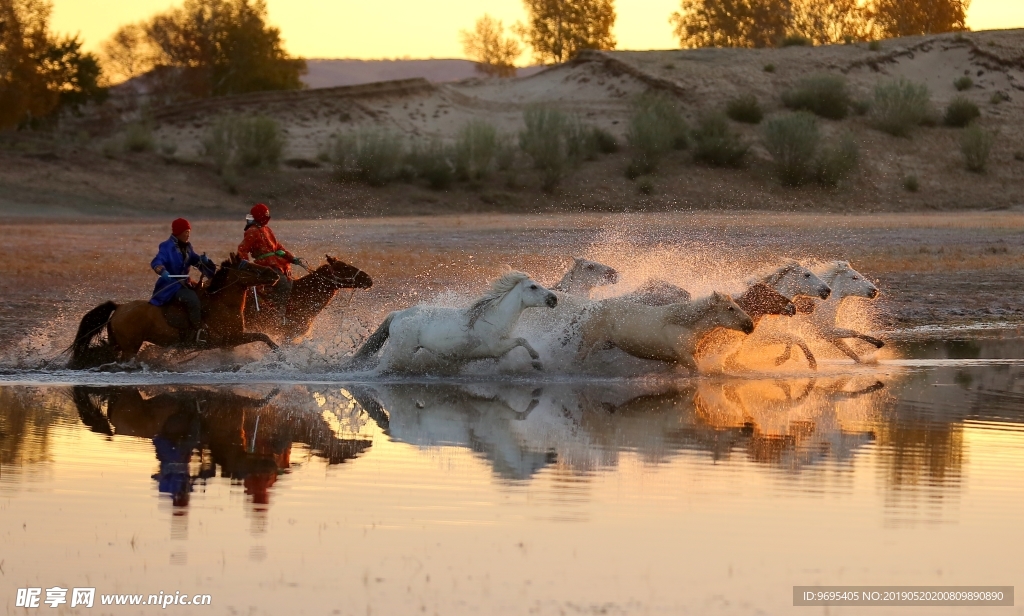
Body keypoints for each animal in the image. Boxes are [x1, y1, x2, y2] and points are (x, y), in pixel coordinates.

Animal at [70, 251, 282, 366]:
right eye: (249, 268)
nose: (273, 274)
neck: (222, 303)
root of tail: (120, 307)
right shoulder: (232, 338)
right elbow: (263, 336)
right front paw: (280, 354)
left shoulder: (228, 345)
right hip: (129, 348)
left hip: (118, 344)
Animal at [346, 270, 557, 374]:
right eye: (533, 286)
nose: (554, 299)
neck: (494, 318)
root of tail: (398, 314)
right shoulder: (496, 347)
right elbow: (522, 340)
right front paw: (537, 361)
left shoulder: (500, 351)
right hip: (400, 352)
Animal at [581, 290, 757, 372]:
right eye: (730, 308)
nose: (750, 325)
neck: (685, 325)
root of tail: (591, 308)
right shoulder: (686, 358)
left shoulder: (676, 360)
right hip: (590, 343)